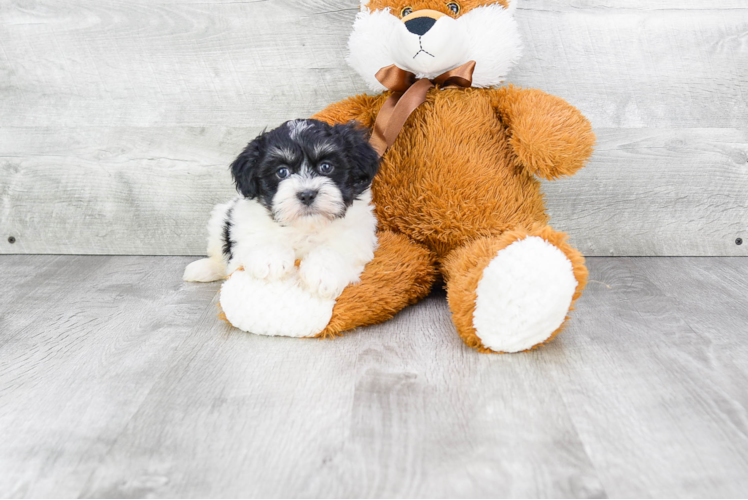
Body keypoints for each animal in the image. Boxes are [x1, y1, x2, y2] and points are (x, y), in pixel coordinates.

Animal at [182, 119, 380, 298]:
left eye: (326, 167)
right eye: (282, 172)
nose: (307, 194)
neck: (304, 227)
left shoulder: (358, 235)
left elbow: (336, 248)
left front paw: (322, 272)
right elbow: (257, 238)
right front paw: (270, 259)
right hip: (220, 219)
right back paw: (202, 269)